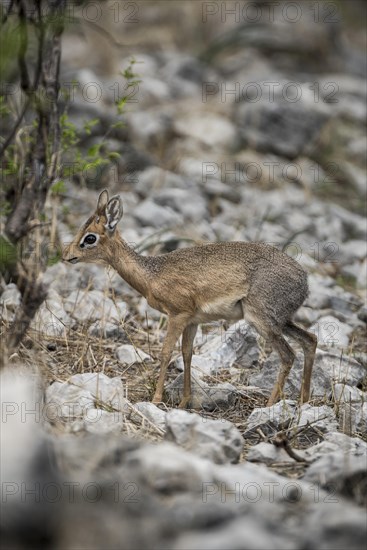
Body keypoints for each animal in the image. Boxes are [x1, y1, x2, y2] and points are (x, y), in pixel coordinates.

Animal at [62, 191, 316, 410]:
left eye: (90, 237)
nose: (66, 256)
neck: (152, 275)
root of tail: (304, 281)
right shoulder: (192, 321)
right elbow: (186, 354)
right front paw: (185, 401)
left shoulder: (177, 315)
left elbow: (165, 353)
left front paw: (156, 399)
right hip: (281, 321)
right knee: (310, 340)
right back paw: (304, 401)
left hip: (261, 320)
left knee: (288, 355)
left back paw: (271, 404)